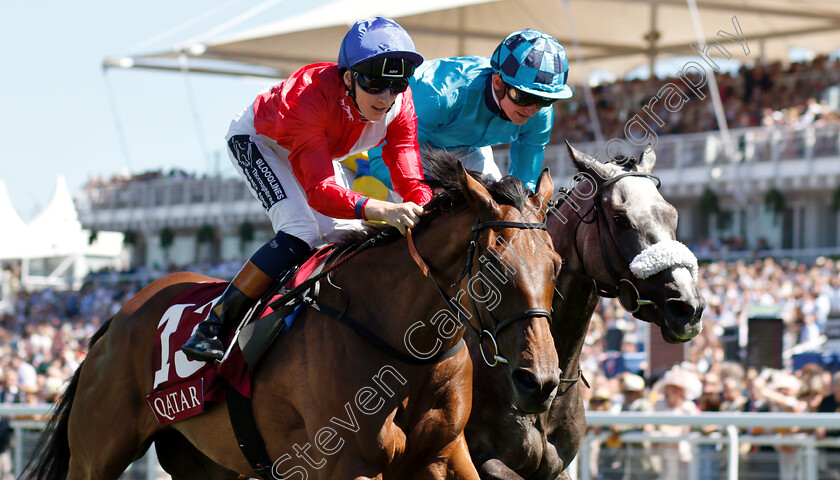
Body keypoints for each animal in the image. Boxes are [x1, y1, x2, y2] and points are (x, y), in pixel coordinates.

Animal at [24, 155, 564, 480]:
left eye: (556, 264)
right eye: (492, 264)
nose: (539, 382)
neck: (400, 344)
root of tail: (115, 322)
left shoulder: (445, 453)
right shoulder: (347, 462)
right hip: (96, 454)